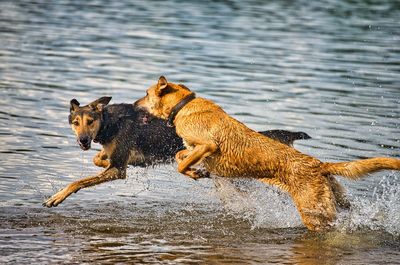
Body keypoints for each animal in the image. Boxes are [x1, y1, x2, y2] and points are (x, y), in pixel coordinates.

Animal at [43, 97, 310, 206]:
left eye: (90, 121)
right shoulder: (116, 161)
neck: (109, 122)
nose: (83, 141)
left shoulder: (118, 170)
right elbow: (98, 159)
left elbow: (77, 182)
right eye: (75, 123)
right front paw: (98, 156)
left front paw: (56, 197)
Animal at [135, 75, 400, 230]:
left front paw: (195, 172)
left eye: (146, 94)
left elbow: (181, 164)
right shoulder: (196, 149)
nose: (135, 105)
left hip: (315, 213)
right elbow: (181, 157)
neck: (184, 106)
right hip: (338, 201)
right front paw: (196, 171)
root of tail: (319, 164)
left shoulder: (207, 145)